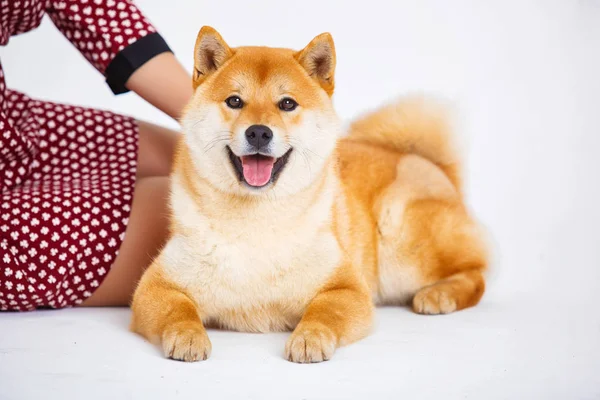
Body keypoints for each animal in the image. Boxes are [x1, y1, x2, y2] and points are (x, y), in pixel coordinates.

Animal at [130, 25, 488, 362]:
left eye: (287, 103)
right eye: (234, 101)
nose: (258, 132)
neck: (255, 221)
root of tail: (433, 165)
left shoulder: (347, 287)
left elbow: (324, 312)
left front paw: (309, 338)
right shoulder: (155, 285)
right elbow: (178, 310)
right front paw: (188, 335)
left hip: (400, 244)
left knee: (477, 272)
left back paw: (439, 295)